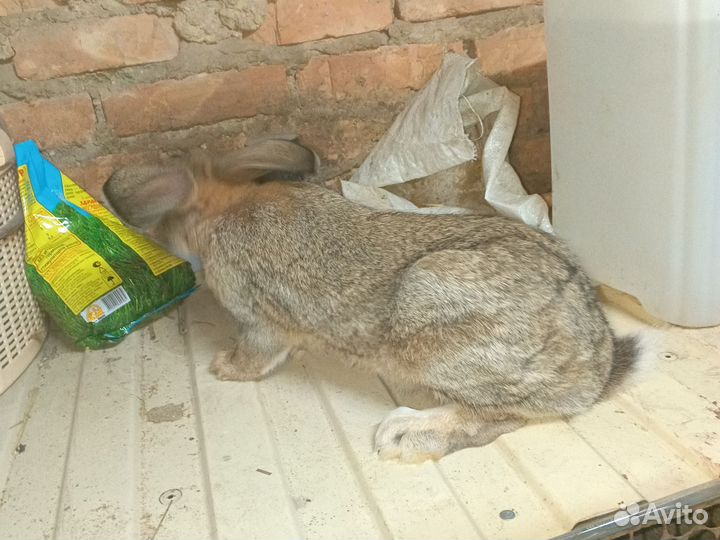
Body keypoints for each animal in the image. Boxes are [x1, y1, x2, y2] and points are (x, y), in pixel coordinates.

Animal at [104, 139, 639, 463]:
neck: (225, 208)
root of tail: (595, 366)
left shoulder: (258, 319)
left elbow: (257, 352)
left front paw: (223, 367)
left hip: (435, 324)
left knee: (502, 416)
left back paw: (403, 434)